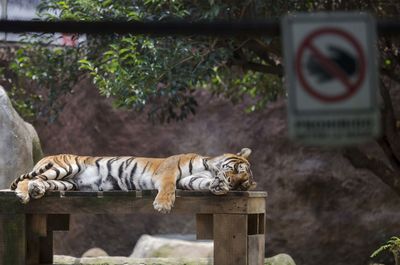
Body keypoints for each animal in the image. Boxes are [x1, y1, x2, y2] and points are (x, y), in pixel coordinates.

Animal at [10, 146, 256, 212]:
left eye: (242, 184)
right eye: (236, 169)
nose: (231, 183)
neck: (210, 167)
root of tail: (43, 157)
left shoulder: (189, 181)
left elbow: (200, 183)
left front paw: (218, 186)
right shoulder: (169, 171)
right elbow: (168, 187)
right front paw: (162, 205)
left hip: (67, 183)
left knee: (41, 181)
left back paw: (36, 191)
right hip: (65, 167)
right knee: (25, 180)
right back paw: (23, 194)